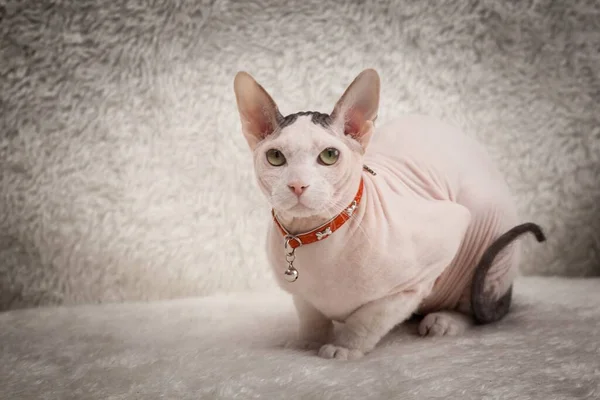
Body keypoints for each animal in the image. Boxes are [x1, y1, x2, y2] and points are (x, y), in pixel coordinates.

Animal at [232, 68, 548, 360]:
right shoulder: (301, 294)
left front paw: (344, 347)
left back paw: (444, 321)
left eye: (329, 156)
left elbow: (370, 317)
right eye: (275, 157)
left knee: (472, 304)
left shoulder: (424, 270)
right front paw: (307, 343)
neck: (314, 237)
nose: (298, 185)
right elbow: (311, 315)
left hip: (484, 217)